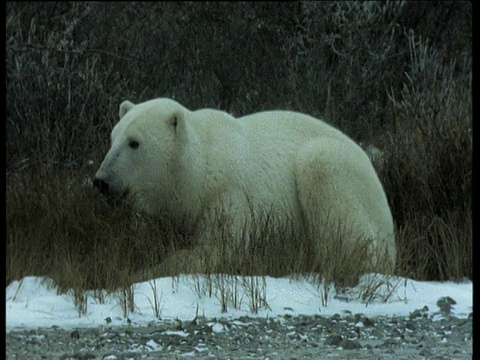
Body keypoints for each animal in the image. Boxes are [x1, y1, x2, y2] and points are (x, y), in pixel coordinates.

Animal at [93, 98, 394, 278]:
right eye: (112, 137)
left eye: (134, 142)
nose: (101, 180)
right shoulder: (158, 209)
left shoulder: (228, 195)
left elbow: (219, 248)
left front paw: (140, 274)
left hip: (344, 174)